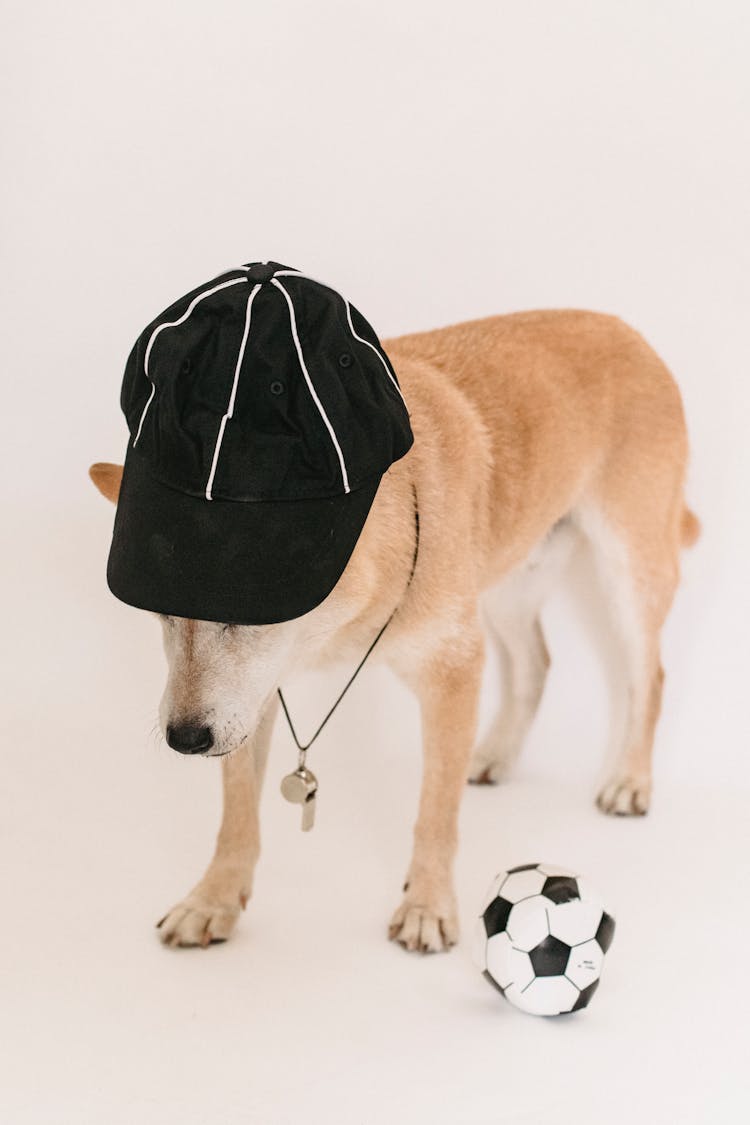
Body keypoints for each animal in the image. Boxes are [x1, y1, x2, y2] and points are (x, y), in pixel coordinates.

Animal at [92, 312, 697, 954]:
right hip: (510, 577)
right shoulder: (246, 701)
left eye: (247, 610)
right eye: (160, 612)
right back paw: (498, 752)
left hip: (629, 569)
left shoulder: (454, 670)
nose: (184, 738)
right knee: (536, 663)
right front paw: (214, 898)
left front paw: (428, 905)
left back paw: (630, 779)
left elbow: (435, 812)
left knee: (648, 675)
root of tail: (622, 326)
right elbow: (236, 817)